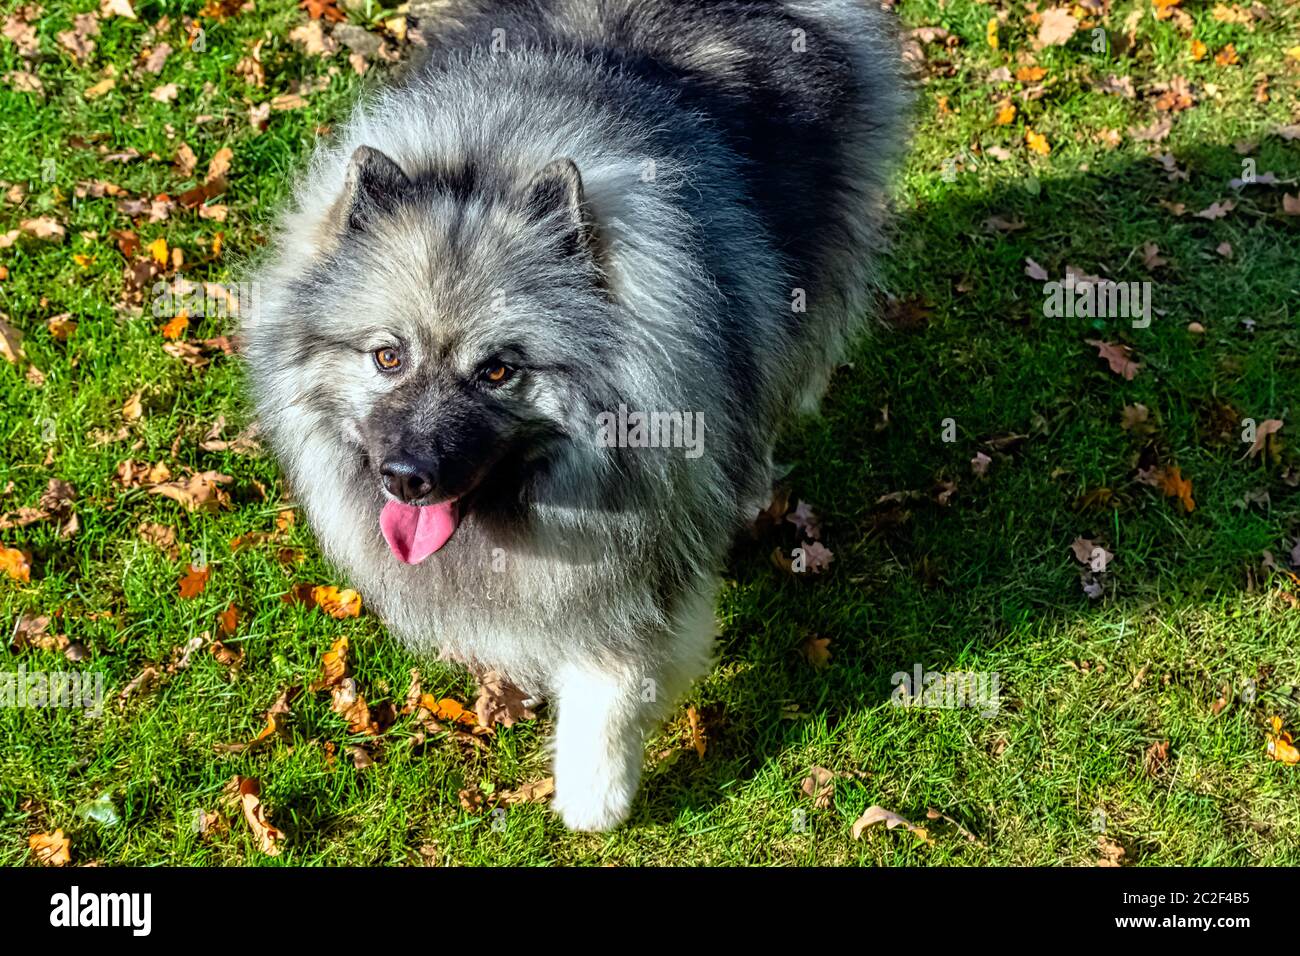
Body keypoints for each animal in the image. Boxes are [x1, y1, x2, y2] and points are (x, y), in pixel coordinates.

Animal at [244, 0, 909, 832]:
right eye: (388, 357)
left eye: (498, 370)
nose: (405, 477)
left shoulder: (652, 551)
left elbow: (614, 673)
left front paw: (595, 788)